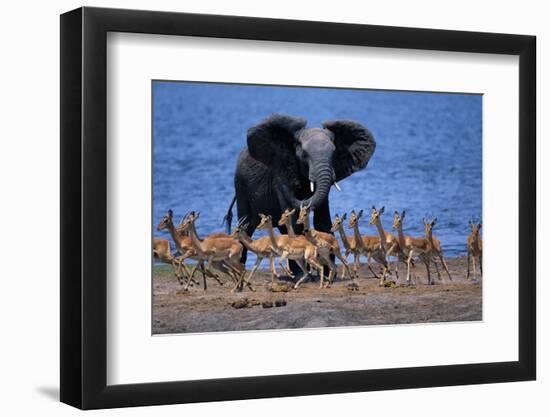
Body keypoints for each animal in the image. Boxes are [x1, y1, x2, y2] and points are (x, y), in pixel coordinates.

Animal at [224, 112, 376, 266]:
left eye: (334, 153)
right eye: (304, 154)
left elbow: (323, 223)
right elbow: (295, 222)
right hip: (241, 185)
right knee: (247, 225)